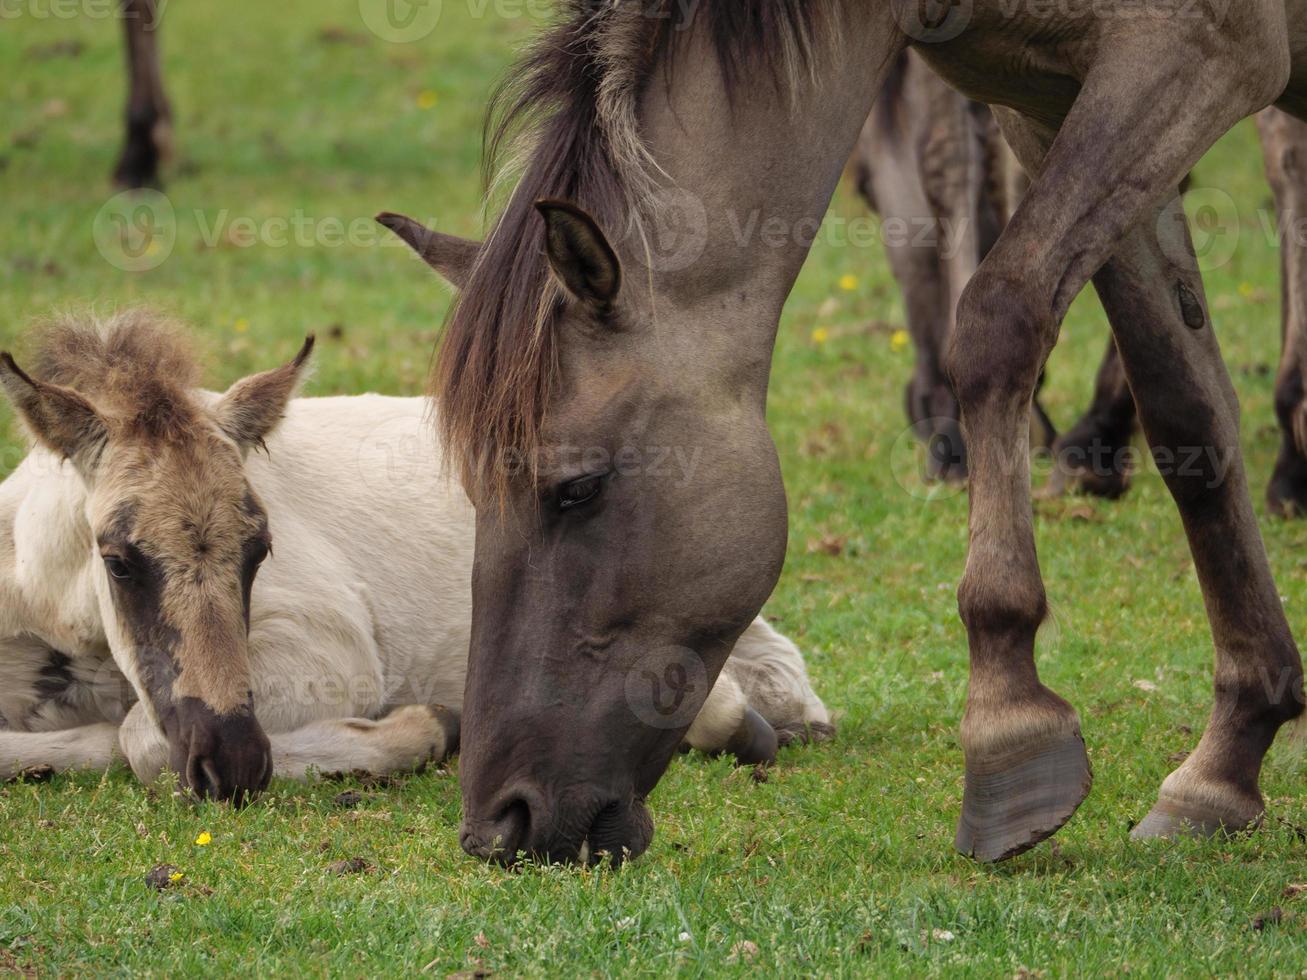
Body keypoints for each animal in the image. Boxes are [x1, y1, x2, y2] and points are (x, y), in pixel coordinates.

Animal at [0, 318, 831, 799]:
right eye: (118, 560)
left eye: (260, 549)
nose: (229, 761)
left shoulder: (331, 650)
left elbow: (142, 739)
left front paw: (426, 729)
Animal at [381, 0, 1307, 862]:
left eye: (576, 487)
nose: (499, 823)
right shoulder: (1048, 103)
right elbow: (1185, 413)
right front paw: (1225, 763)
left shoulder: (1192, 55)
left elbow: (997, 317)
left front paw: (1008, 727)